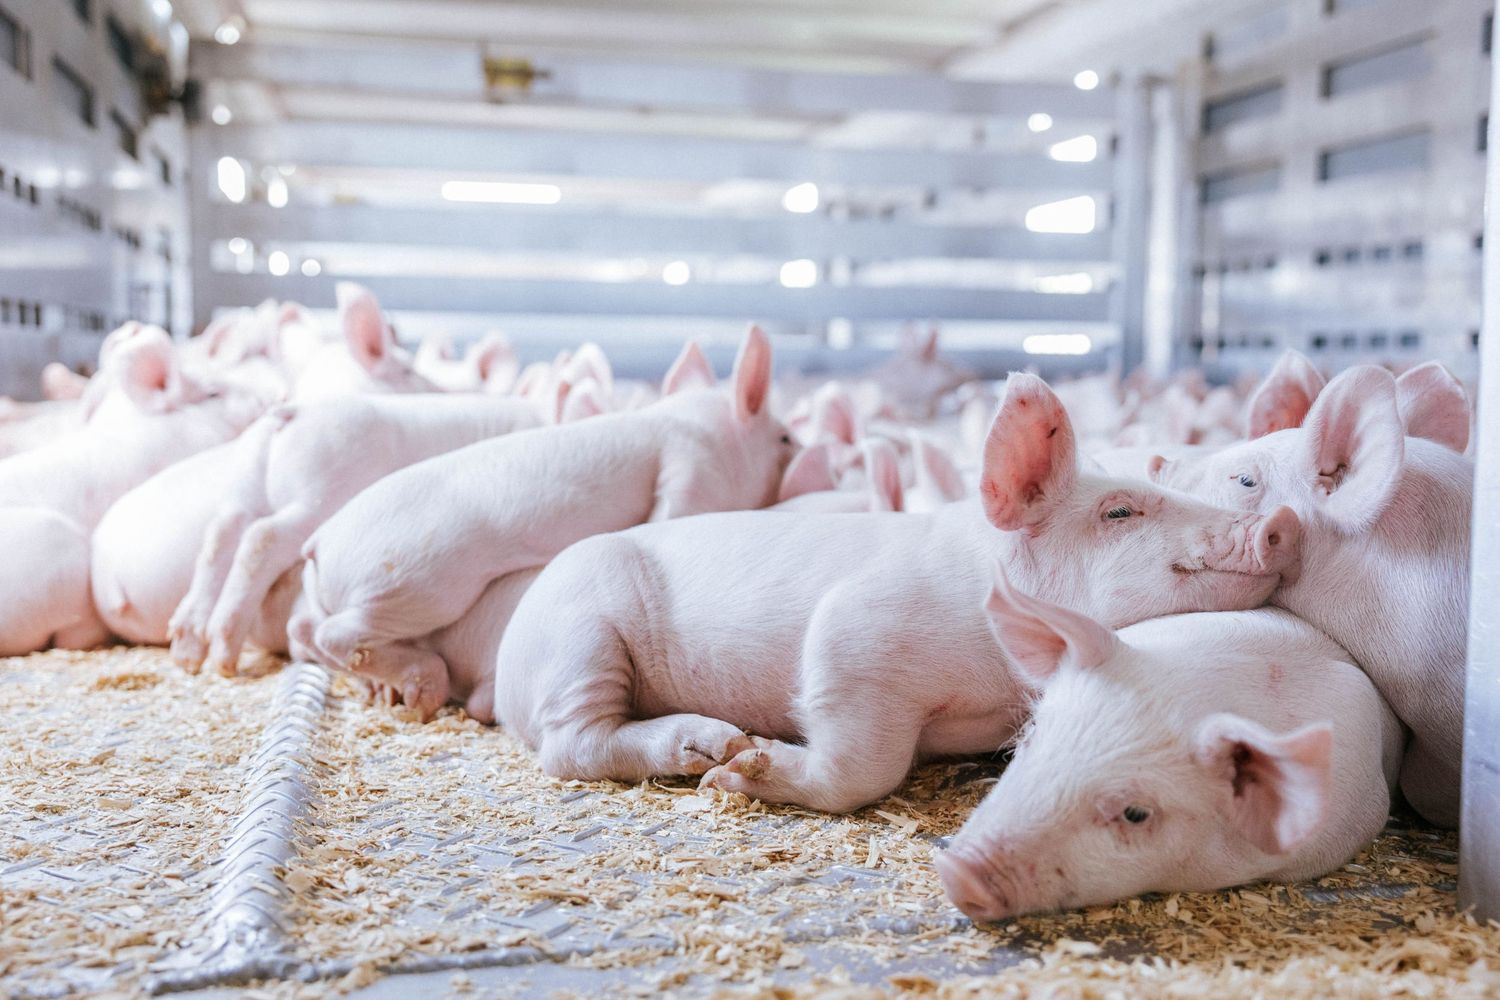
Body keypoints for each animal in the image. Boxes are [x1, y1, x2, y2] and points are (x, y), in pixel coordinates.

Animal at [294, 326, 797, 716]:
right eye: (786, 438)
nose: (802, 451)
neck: (702, 428)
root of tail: (320, 540)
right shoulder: (691, 467)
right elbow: (675, 509)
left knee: (305, 632)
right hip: (415, 584)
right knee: (333, 635)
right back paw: (427, 691)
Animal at [492, 372, 1300, 810]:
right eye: (1120, 512)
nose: (1281, 522)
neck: (999, 673)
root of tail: (503, 677)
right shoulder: (856, 635)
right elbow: (865, 765)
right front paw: (745, 772)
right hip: (580, 634)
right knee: (569, 746)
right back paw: (716, 748)